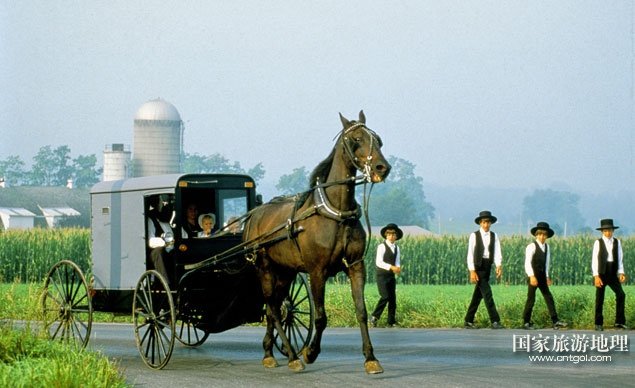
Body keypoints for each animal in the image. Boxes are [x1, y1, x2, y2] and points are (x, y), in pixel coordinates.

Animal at [243, 111, 392, 372]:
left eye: (378, 140)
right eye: (356, 138)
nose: (382, 167)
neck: (336, 213)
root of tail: (254, 215)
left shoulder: (356, 267)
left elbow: (361, 311)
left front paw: (371, 358)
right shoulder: (317, 271)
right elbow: (321, 317)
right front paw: (310, 352)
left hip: (286, 271)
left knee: (275, 309)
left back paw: (269, 352)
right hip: (264, 267)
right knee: (272, 306)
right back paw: (293, 356)